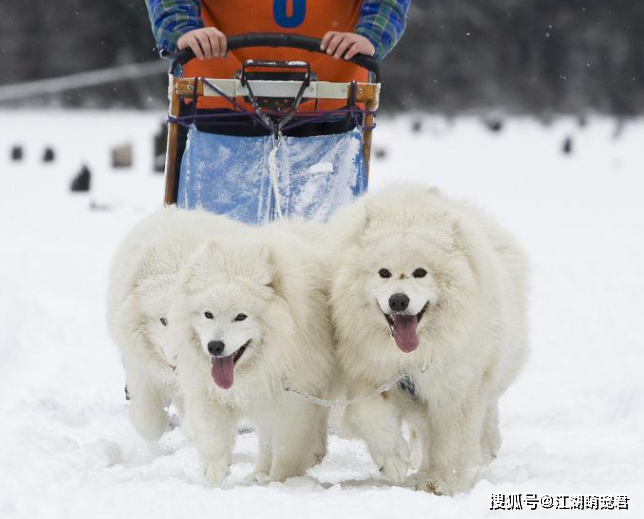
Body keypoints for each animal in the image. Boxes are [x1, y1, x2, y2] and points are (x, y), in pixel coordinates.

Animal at [106, 207, 334, 484]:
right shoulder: (158, 372)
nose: (213, 347)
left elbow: (286, 447)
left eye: (241, 316)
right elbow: (153, 420)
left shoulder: (289, 399)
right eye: (163, 320)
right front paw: (213, 474)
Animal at [330, 184, 532, 496]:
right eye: (384, 273)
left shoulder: (455, 387)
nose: (398, 300)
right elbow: (370, 413)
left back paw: (486, 448)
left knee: (486, 410)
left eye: (420, 273)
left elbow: (450, 441)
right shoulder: (365, 372)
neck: (410, 359)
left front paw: (440, 482)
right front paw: (393, 459)